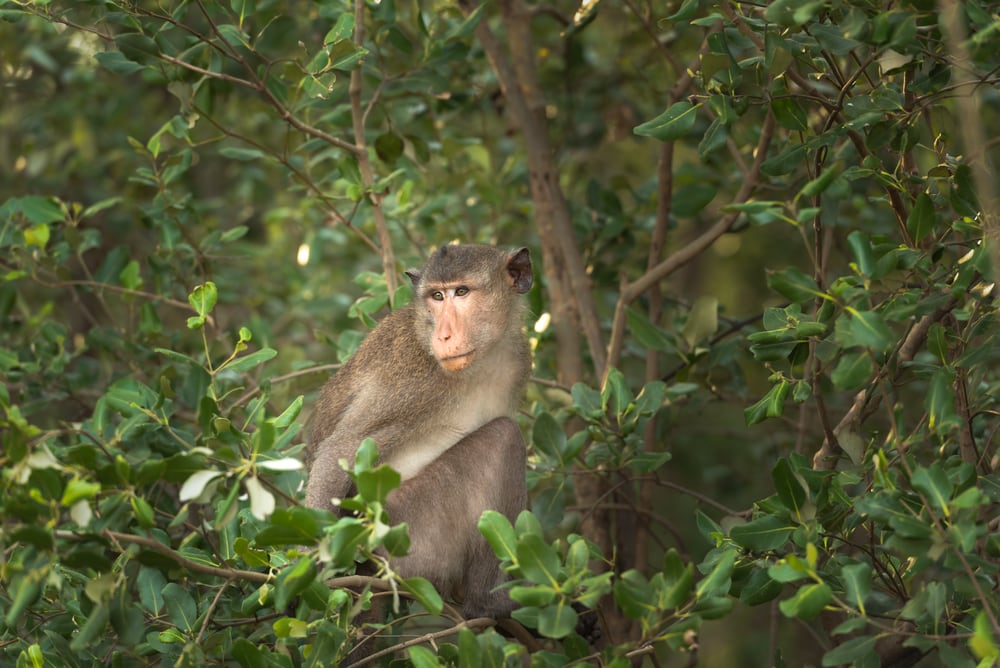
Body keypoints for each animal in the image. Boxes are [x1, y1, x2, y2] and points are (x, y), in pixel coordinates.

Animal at [305, 244, 532, 622]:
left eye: (461, 292)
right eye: (436, 296)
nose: (443, 336)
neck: (482, 361)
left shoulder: (518, 360)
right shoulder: (415, 380)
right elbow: (342, 448)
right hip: (408, 534)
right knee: (505, 437)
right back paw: (486, 602)